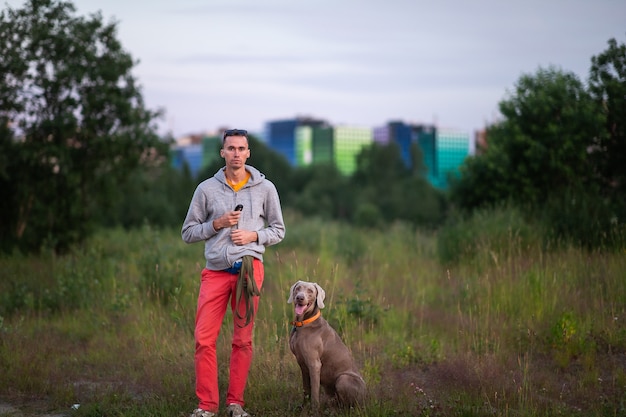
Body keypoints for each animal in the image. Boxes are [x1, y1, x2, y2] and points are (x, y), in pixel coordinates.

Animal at [286, 280, 364, 410]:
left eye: (310, 291)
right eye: (298, 288)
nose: (300, 297)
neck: (303, 323)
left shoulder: (314, 364)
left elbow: (314, 392)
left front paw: (314, 410)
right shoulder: (302, 364)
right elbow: (306, 390)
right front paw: (303, 408)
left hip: (344, 379)